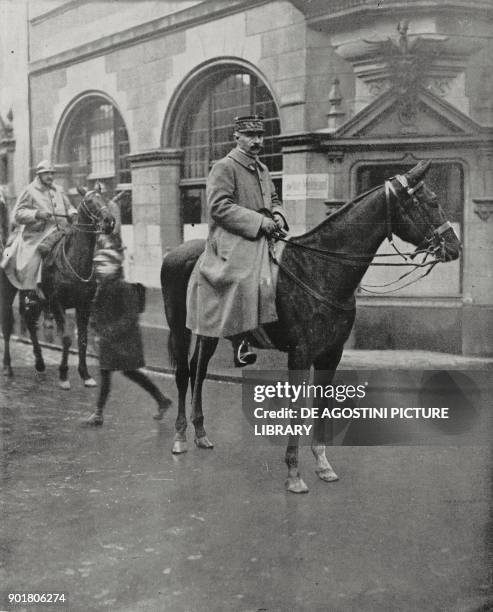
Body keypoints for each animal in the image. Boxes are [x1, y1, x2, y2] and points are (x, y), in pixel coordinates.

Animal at [0, 189, 113, 388]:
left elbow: (82, 339)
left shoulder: (84, 305)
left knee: (30, 323)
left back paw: (40, 365)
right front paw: (63, 375)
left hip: (35, 300)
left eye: (104, 198)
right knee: (7, 327)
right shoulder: (56, 303)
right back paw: (7, 367)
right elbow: (67, 339)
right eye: (90, 202)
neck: (74, 260)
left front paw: (85, 374)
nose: (110, 222)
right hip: (8, 293)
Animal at [161, 161, 462, 492]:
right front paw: (294, 472)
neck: (319, 269)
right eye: (431, 201)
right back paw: (179, 437)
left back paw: (200, 433)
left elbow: (321, 403)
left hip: (209, 331)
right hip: (180, 328)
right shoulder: (300, 354)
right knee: (184, 373)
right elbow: (297, 408)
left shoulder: (331, 354)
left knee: (199, 370)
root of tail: (177, 252)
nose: (454, 246)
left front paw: (322, 463)